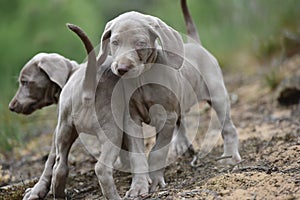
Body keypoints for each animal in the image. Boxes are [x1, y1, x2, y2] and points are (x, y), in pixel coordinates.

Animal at [80, 1, 241, 192]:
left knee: (228, 128)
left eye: (140, 43)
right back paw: (181, 144)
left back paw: (230, 156)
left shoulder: (166, 118)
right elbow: (137, 156)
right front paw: (138, 186)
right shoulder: (131, 119)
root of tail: (195, 45)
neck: (142, 79)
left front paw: (156, 181)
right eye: (115, 42)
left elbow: (157, 153)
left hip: (218, 96)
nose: (122, 69)